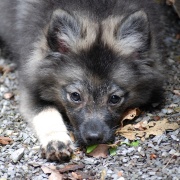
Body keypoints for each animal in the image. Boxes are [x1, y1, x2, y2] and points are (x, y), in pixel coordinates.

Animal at [0, 0, 165, 162]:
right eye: (75, 96)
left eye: (114, 98)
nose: (94, 138)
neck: (97, 13)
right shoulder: (31, 87)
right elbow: (46, 111)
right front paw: (56, 141)